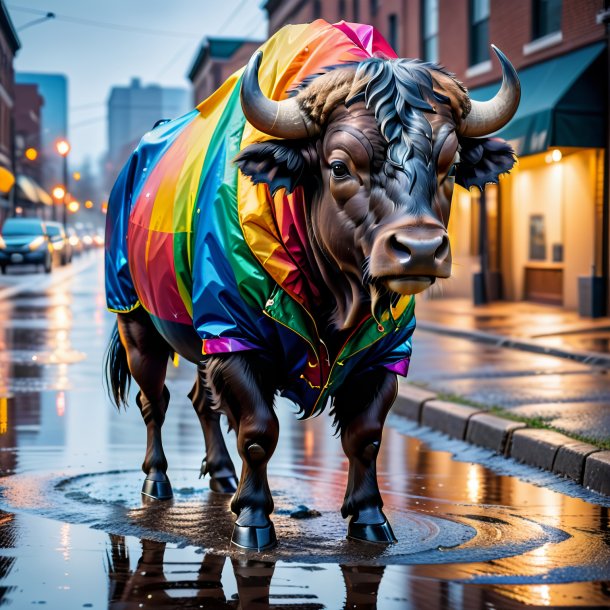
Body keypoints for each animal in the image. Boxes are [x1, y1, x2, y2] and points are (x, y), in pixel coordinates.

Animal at [104, 21, 516, 548]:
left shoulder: (383, 352)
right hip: (136, 321)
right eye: (339, 166)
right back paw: (157, 480)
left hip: (199, 340)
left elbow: (366, 435)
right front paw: (253, 519)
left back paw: (221, 475)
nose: (421, 249)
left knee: (202, 402)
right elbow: (258, 432)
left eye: (449, 166)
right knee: (154, 401)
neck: (336, 294)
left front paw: (369, 517)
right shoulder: (236, 338)